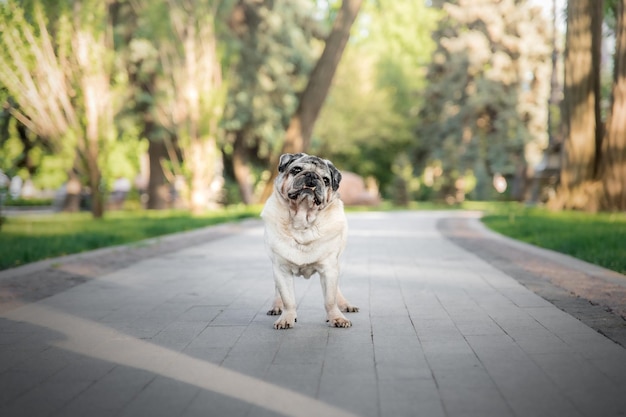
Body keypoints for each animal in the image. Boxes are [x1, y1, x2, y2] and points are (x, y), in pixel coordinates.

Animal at [258, 153, 356, 328]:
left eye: (326, 180)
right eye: (296, 170)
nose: (311, 175)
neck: (302, 222)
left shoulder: (329, 268)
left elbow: (330, 300)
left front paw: (336, 318)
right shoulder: (281, 268)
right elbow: (288, 299)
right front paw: (287, 318)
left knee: (336, 291)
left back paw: (344, 305)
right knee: (278, 290)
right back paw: (277, 306)